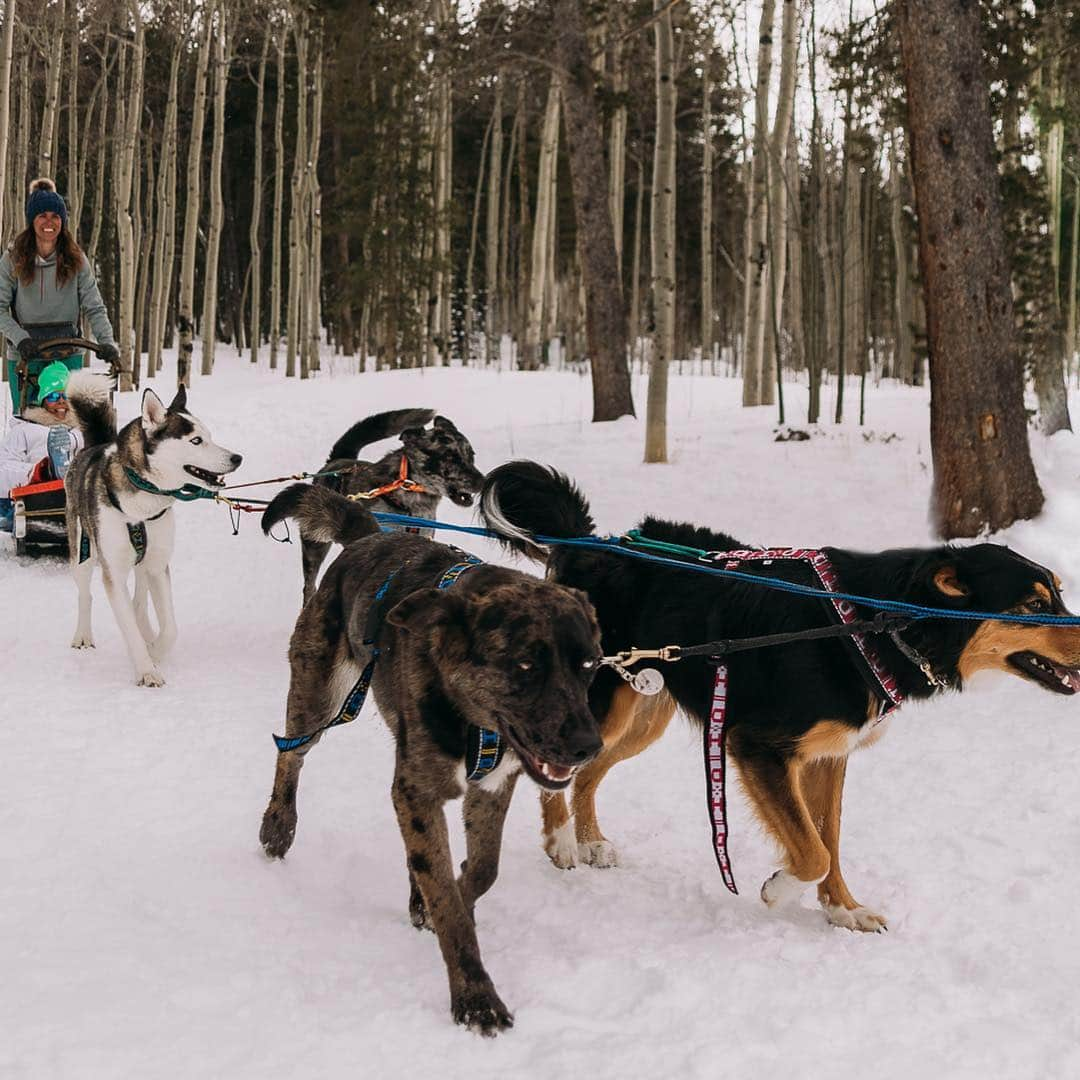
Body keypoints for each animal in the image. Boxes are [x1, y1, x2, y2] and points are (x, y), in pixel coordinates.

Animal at [67, 371, 245, 686]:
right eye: (196, 440)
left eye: (209, 436)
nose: (237, 458)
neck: (142, 503)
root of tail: (91, 447)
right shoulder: (113, 572)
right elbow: (128, 626)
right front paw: (146, 669)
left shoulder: (158, 565)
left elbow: (170, 627)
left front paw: (155, 652)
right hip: (82, 554)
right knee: (85, 594)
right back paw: (83, 636)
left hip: (144, 563)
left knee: (139, 602)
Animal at [258, 486, 604, 1032]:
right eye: (525, 665)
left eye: (589, 663)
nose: (590, 746)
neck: (472, 719)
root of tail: (371, 537)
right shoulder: (418, 789)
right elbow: (448, 899)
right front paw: (475, 996)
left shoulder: (490, 786)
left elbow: (480, 871)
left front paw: (447, 895)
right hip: (319, 695)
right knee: (291, 755)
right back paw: (278, 824)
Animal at [295, 406, 481, 604]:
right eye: (449, 457)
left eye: (471, 455)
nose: (483, 481)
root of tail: (338, 461)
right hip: (315, 544)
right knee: (309, 585)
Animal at [481, 460, 1080, 933]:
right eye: (1033, 606)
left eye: (1058, 593)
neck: (870, 621)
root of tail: (591, 545)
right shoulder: (758, 747)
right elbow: (811, 851)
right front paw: (780, 889)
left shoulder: (829, 756)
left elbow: (829, 839)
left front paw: (843, 910)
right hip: (602, 707)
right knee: (553, 770)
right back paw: (561, 842)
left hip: (642, 713)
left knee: (588, 773)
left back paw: (589, 839)